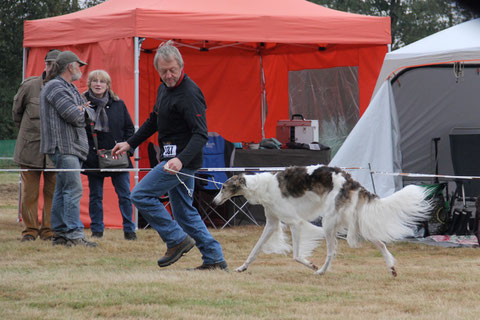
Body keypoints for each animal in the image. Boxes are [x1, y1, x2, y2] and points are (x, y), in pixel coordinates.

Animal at [214, 164, 432, 276]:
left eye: (224, 187)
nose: (214, 202)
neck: (262, 186)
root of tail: (350, 179)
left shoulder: (294, 222)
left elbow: (296, 255)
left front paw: (311, 264)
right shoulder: (272, 223)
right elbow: (255, 249)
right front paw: (242, 267)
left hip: (329, 222)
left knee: (332, 251)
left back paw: (320, 271)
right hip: (348, 221)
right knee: (379, 242)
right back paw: (391, 267)